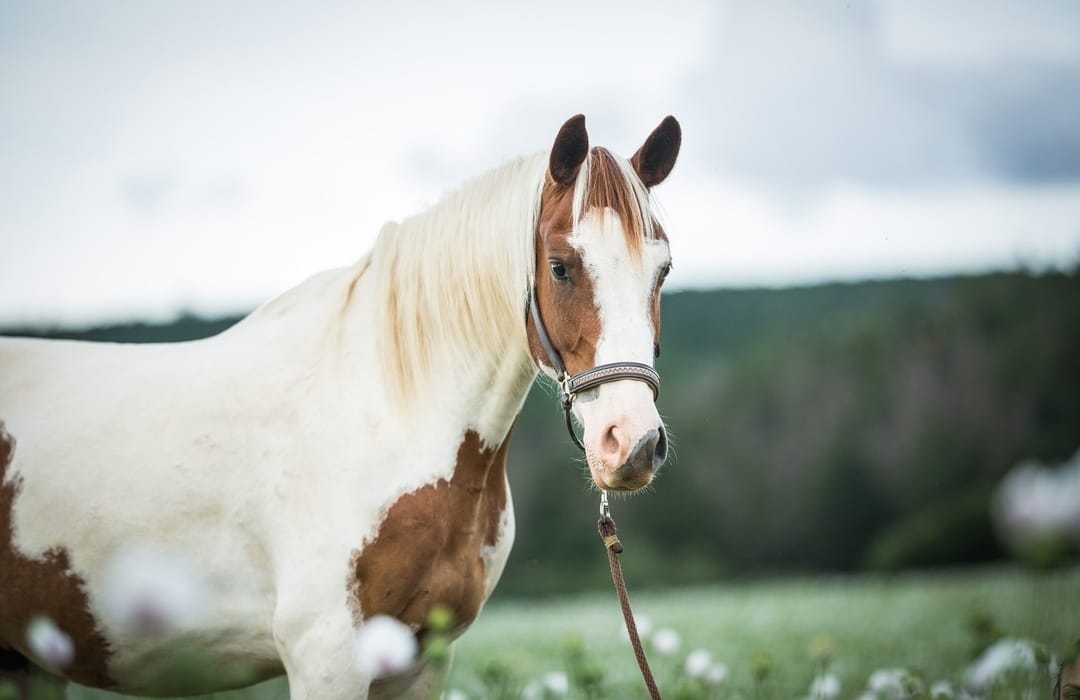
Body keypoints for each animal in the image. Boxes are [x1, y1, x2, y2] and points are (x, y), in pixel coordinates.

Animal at [0, 113, 681, 698]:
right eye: (561, 267)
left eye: (664, 270)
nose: (633, 443)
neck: (386, 416)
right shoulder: (327, 657)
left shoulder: (423, 659)